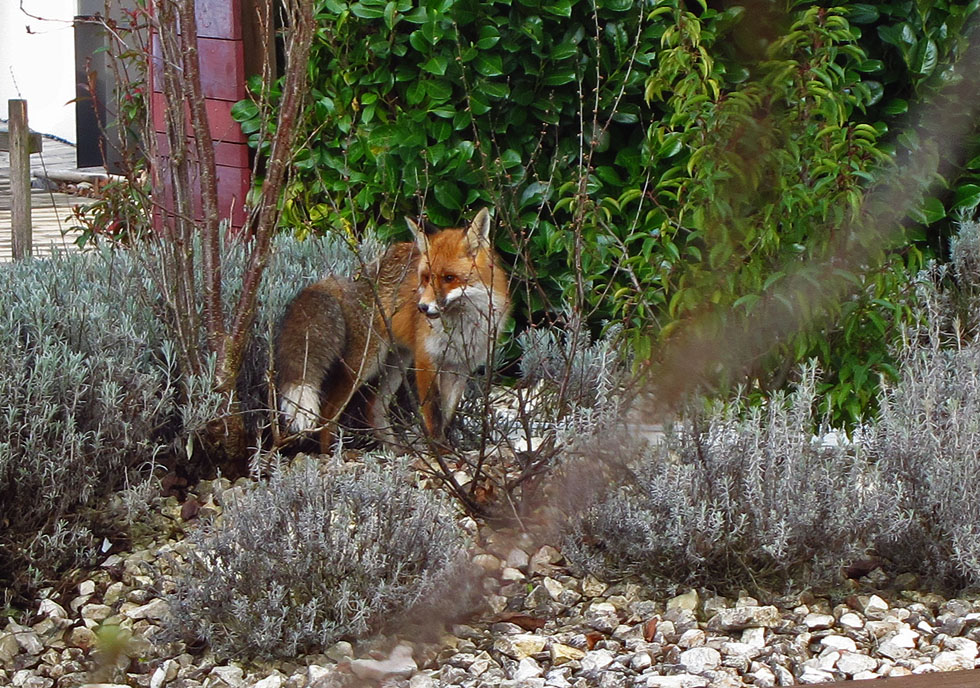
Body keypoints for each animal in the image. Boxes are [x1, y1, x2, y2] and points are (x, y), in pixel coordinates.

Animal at [272, 212, 510, 454]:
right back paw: (329, 453)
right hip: (365, 363)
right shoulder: (426, 360)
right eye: (425, 278)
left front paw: (445, 451)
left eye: (449, 278)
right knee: (329, 411)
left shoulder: (460, 367)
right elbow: (433, 415)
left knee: (374, 407)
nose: (422, 308)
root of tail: (350, 279)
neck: (462, 327)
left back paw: (393, 450)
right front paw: (438, 453)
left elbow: (447, 416)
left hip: (396, 362)